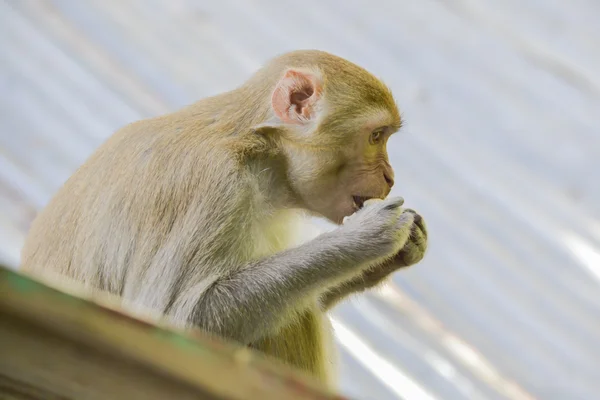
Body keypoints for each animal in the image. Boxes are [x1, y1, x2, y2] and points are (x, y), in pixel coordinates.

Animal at [19, 49, 426, 388]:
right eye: (376, 135)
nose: (389, 176)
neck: (261, 154)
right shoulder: (213, 184)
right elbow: (175, 321)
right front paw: (364, 239)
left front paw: (400, 252)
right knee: (296, 319)